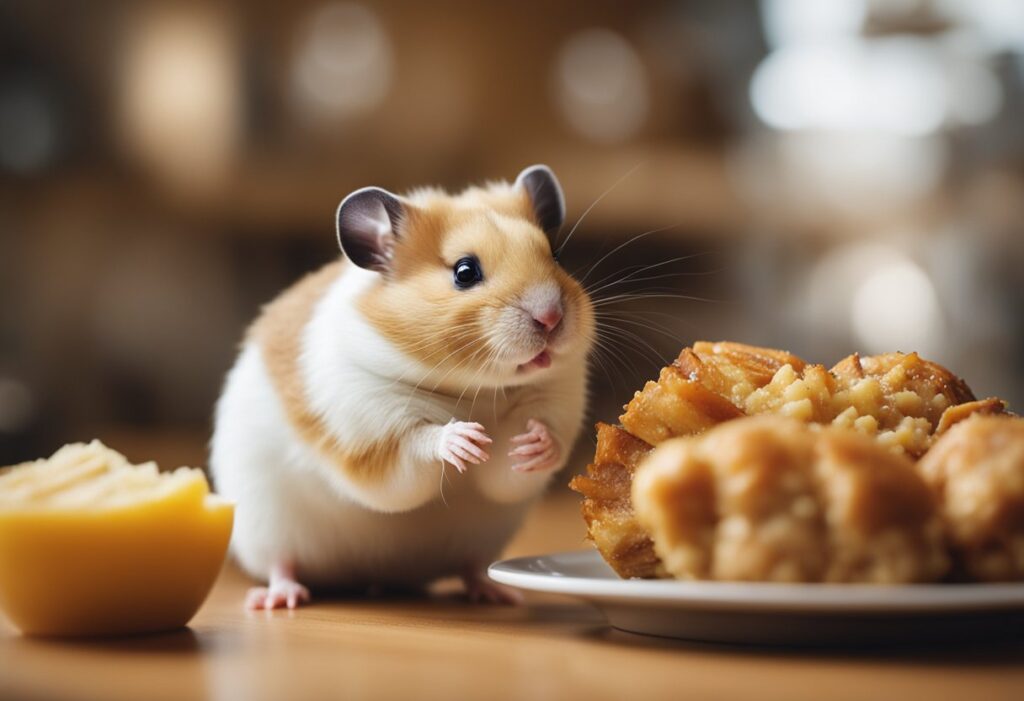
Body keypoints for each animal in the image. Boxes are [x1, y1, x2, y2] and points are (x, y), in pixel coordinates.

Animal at [210, 165, 595, 608]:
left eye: (555, 254)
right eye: (465, 272)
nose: (550, 318)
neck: (475, 390)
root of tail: (371, 576)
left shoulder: (549, 405)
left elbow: (511, 468)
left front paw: (535, 443)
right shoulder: (370, 434)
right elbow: (416, 448)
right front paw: (464, 440)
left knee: (470, 567)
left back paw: (497, 593)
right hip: (266, 527)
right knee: (280, 563)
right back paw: (281, 598)